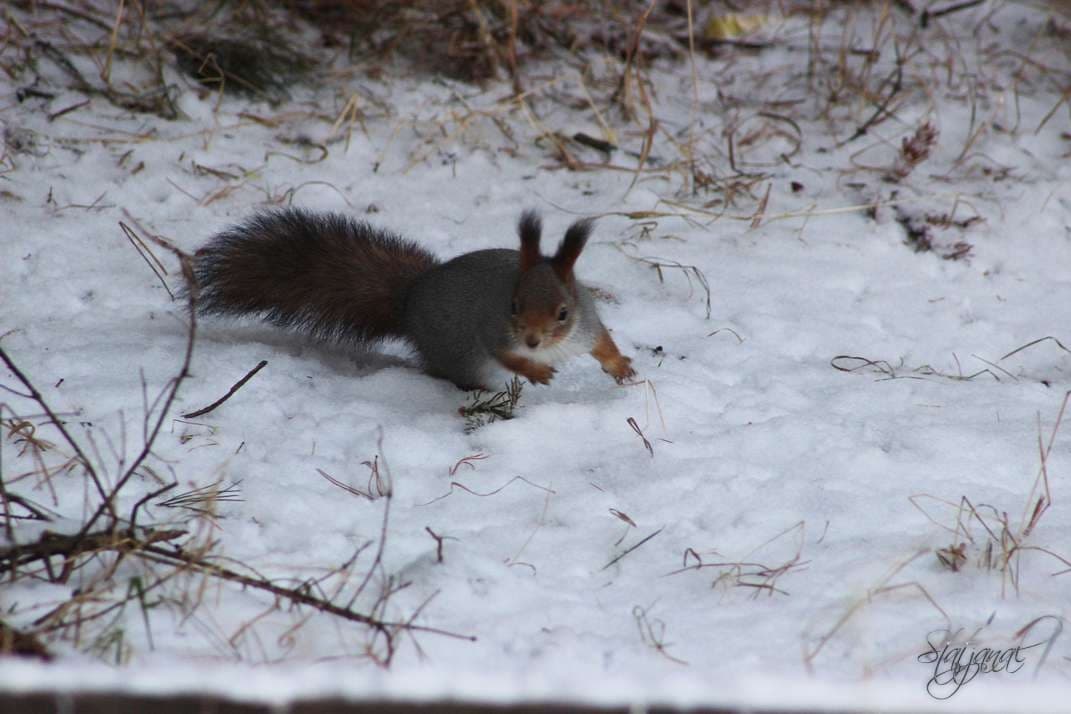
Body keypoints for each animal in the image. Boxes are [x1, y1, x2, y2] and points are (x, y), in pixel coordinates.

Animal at [190, 207, 634, 391]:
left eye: (563, 312)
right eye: (513, 305)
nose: (532, 341)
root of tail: (409, 299)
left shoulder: (586, 325)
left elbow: (602, 342)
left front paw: (620, 367)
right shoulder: (492, 331)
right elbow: (506, 356)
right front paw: (535, 371)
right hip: (457, 356)